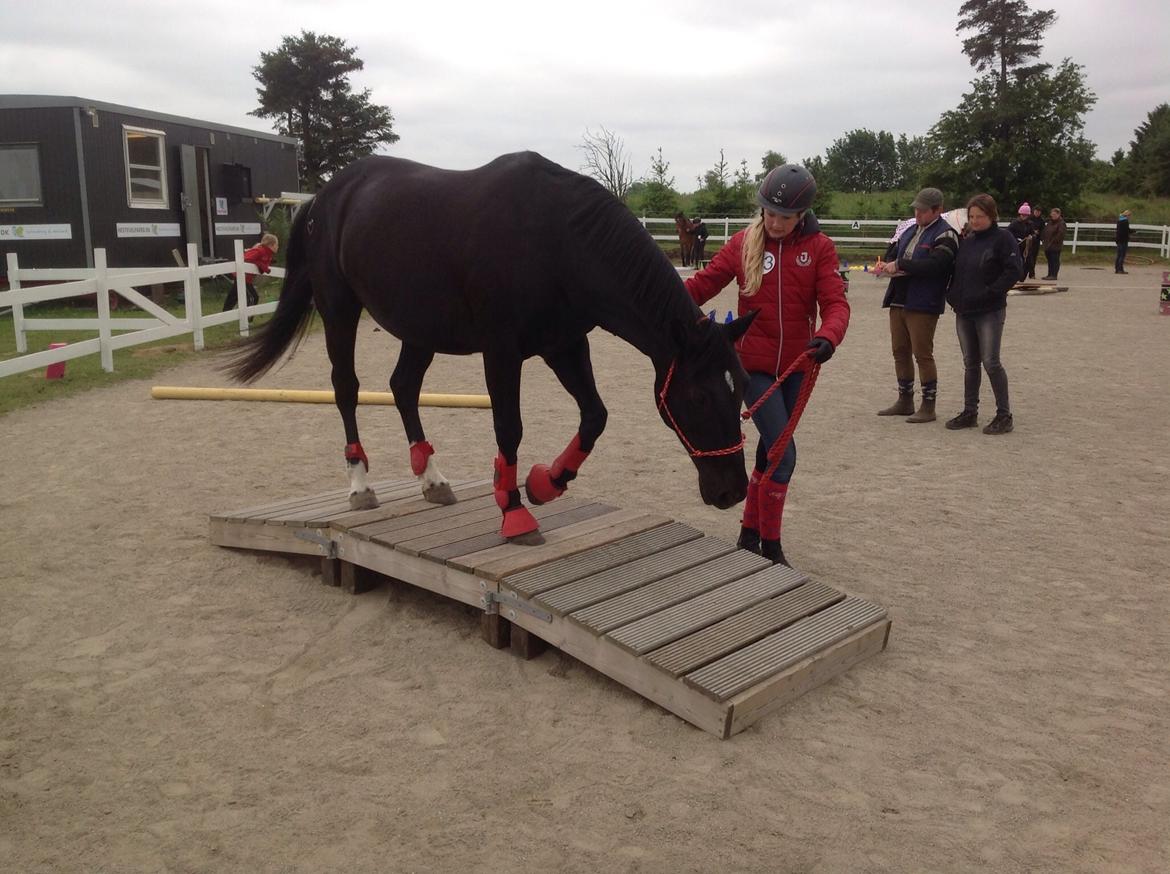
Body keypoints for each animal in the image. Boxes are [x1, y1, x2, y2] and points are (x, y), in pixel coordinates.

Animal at [231, 153, 753, 542]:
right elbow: (509, 427)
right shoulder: (501, 351)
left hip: (420, 327)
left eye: (743, 387)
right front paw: (514, 511)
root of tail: (324, 197)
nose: (733, 491)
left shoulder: (565, 344)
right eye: (698, 396)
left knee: (403, 387)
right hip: (339, 307)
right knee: (346, 388)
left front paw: (544, 484)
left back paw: (432, 478)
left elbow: (595, 417)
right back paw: (360, 484)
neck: (557, 239)